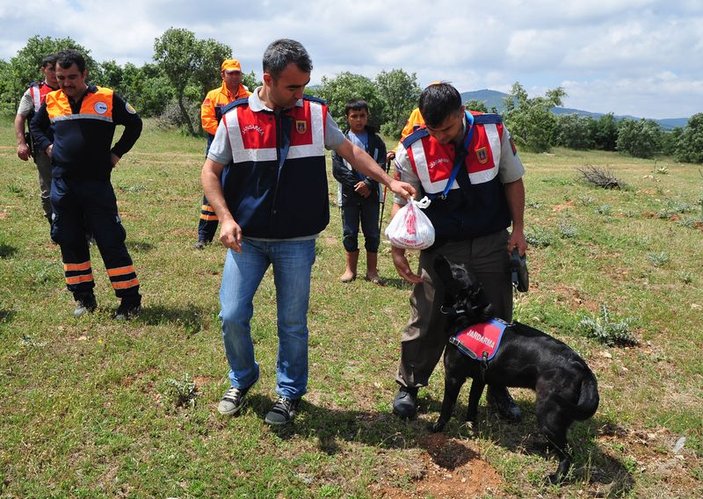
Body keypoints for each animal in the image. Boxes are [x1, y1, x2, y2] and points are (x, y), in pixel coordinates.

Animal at [428, 256, 600, 482]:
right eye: (458, 265)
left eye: (456, 272)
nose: (438, 256)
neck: (469, 316)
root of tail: (583, 369)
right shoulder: (480, 378)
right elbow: (472, 405)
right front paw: (471, 425)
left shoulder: (454, 377)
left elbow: (447, 407)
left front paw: (437, 427)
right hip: (559, 415)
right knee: (560, 442)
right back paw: (542, 446)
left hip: (549, 411)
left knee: (567, 452)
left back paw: (556, 478)